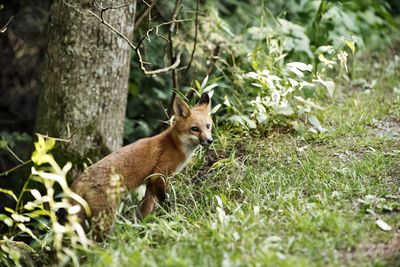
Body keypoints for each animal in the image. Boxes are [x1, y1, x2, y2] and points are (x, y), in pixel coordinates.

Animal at [71, 93, 212, 226]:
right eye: (195, 129)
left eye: (208, 126)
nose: (209, 140)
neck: (176, 145)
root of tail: (79, 180)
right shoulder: (159, 175)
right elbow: (165, 201)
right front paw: (171, 215)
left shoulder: (150, 184)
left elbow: (145, 210)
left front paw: (142, 226)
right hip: (106, 217)